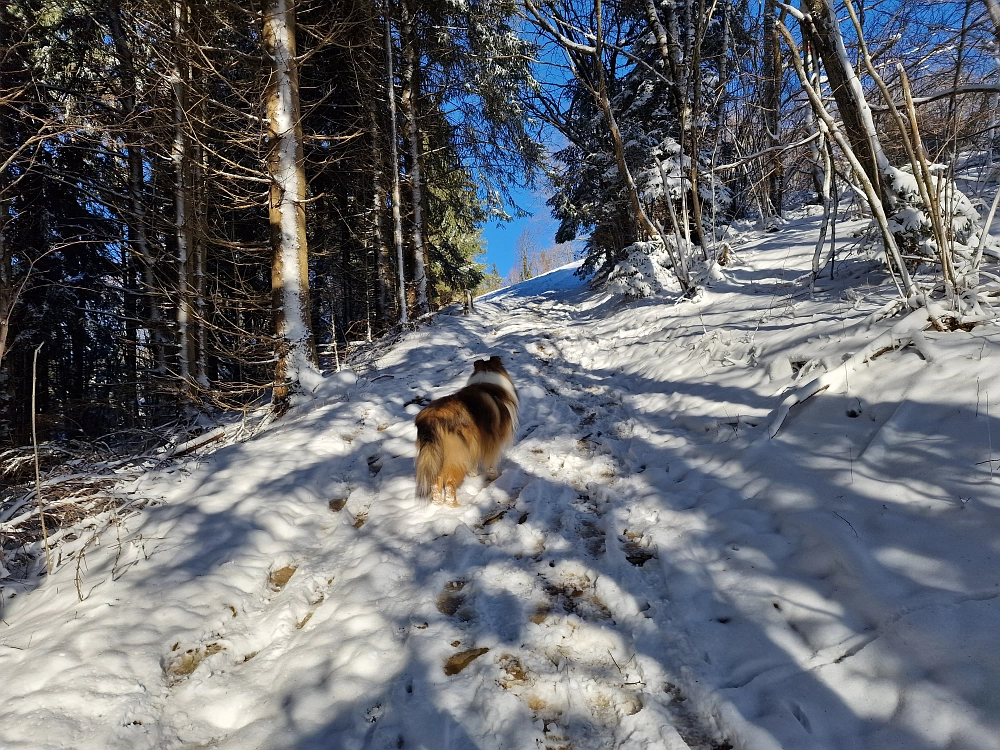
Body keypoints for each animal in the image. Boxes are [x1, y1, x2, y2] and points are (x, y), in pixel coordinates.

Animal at [416, 356, 520, 506]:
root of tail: (431, 418)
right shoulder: (494, 442)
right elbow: (492, 462)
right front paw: (495, 476)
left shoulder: (476, 442)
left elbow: (474, 462)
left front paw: (474, 475)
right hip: (457, 455)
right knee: (449, 483)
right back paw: (454, 505)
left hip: (436, 454)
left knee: (436, 481)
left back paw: (438, 503)